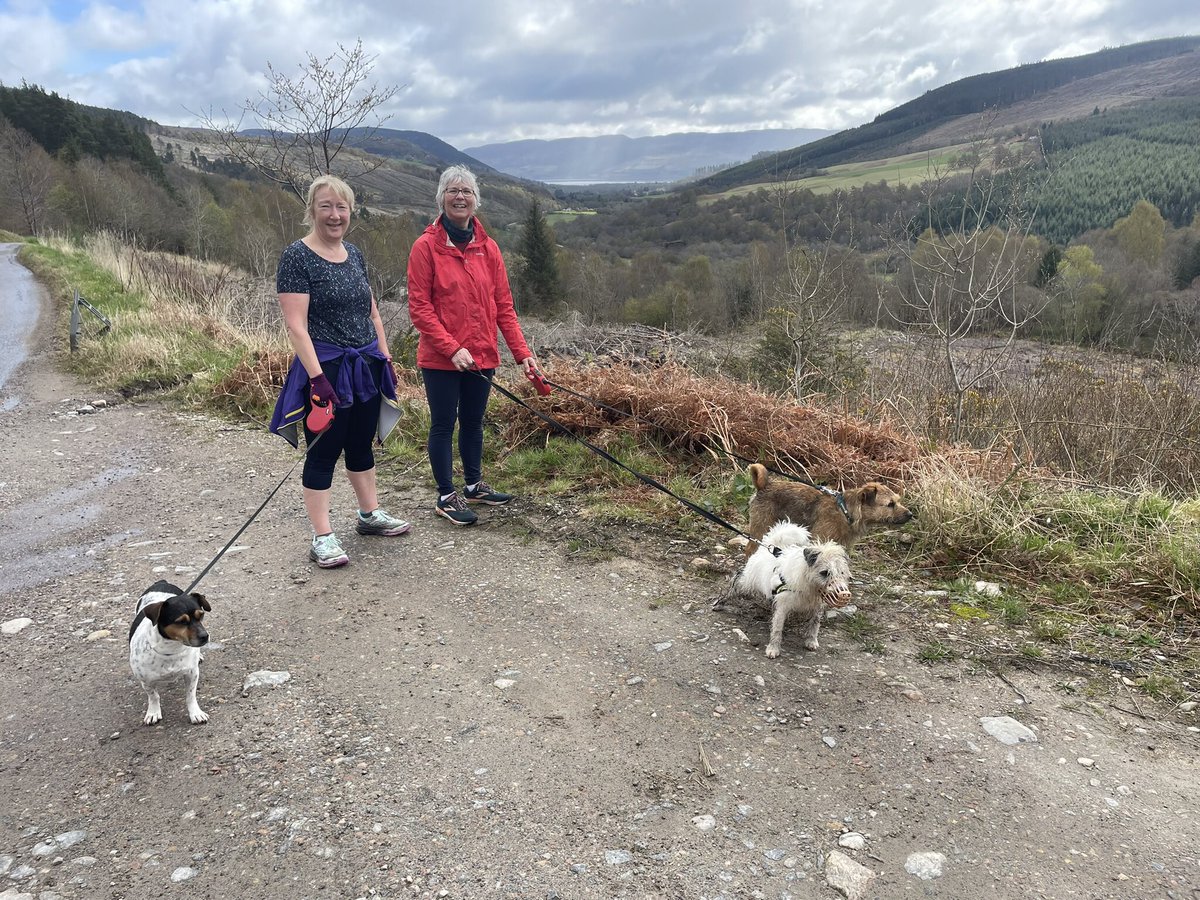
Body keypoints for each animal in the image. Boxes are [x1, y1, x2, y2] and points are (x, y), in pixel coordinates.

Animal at [729, 518, 854, 657]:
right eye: (825, 572)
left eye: (841, 573)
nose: (845, 594)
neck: (809, 585)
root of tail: (768, 547)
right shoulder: (782, 607)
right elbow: (777, 629)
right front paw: (773, 648)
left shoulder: (817, 607)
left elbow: (814, 624)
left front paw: (811, 641)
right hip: (747, 582)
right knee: (736, 580)